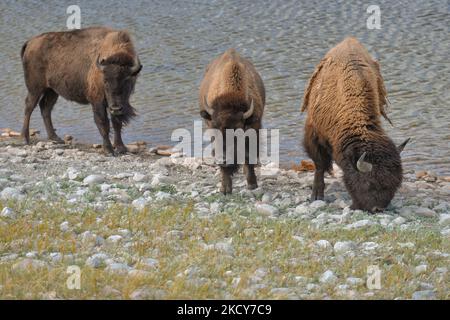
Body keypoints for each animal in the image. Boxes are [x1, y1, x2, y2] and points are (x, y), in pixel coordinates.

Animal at [19, 26, 142, 154]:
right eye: (105, 80)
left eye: (127, 80)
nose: (116, 108)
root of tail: (30, 42)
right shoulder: (97, 101)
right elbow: (103, 123)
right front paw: (108, 149)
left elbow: (116, 123)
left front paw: (121, 147)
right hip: (35, 89)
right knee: (29, 107)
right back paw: (24, 138)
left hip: (52, 90)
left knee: (45, 108)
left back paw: (55, 138)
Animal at [199, 48, 266, 194]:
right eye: (215, 128)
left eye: (238, 131)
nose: (223, 159)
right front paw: (225, 189)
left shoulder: (254, 128)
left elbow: (249, 156)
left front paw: (252, 184)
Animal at [300, 37, 410, 212]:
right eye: (369, 183)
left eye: (395, 184)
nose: (378, 209)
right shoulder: (314, 134)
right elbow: (319, 165)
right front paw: (316, 196)